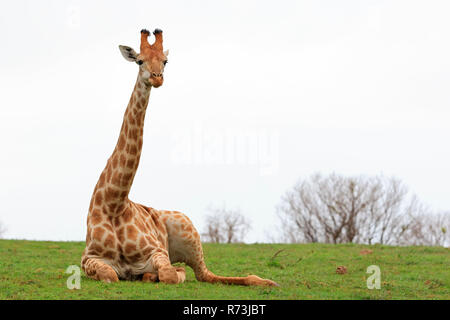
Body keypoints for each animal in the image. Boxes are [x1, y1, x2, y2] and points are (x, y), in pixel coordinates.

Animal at [81, 28, 278, 286]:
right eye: (139, 60)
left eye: (165, 61)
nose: (157, 78)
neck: (114, 203)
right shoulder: (88, 258)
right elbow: (110, 275)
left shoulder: (157, 251)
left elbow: (169, 275)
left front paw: (157, 275)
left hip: (188, 229)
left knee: (203, 273)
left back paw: (267, 281)